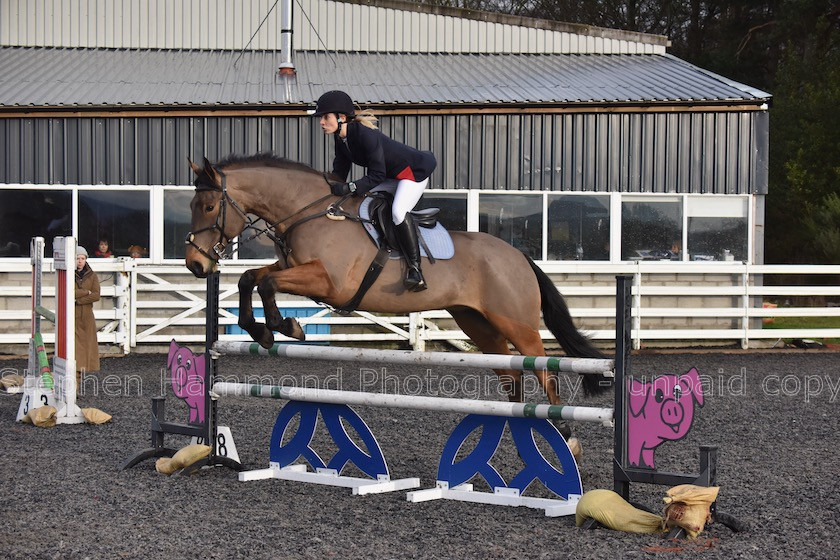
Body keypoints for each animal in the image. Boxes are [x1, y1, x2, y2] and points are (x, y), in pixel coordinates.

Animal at [185, 153, 612, 416]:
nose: (195, 264)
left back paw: (566, 437)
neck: (310, 211)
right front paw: (261, 330)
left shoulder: (328, 282)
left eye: (208, 206)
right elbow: (251, 278)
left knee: (545, 372)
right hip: (478, 324)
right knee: (513, 374)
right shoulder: (296, 267)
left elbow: (269, 283)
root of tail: (519, 256)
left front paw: (283, 326)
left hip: (517, 323)